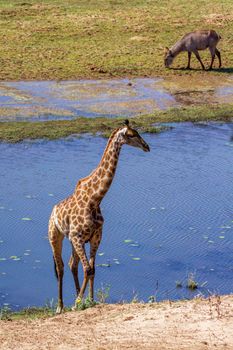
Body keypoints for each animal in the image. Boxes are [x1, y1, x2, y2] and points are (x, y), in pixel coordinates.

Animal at [48, 119, 150, 314]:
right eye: (132, 134)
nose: (147, 146)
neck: (94, 199)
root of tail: (52, 211)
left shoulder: (95, 237)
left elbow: (92, 269)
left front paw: (90, 301)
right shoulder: (79, 237)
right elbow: (88, 269)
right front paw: (78, 303)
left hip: (72, 240)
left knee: (72, 265)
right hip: (55, 236)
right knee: (61, 267)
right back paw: (60, 306)